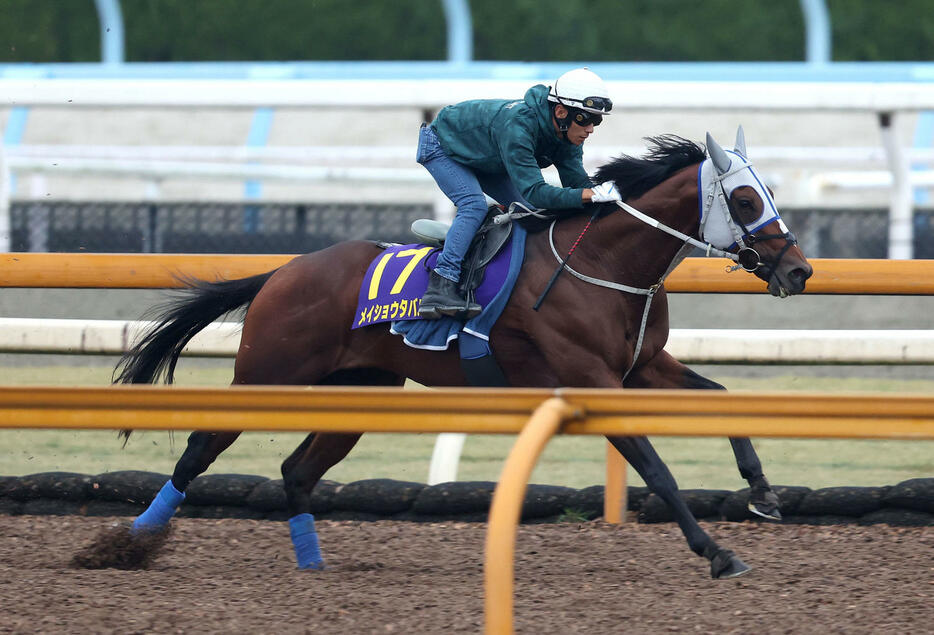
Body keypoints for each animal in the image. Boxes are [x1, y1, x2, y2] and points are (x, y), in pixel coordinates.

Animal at [108, 129, 812, 580]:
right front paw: (717, 553)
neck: (604, 262)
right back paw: (131, 542)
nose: (799, 271)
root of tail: (282, 272)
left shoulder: (641, 368)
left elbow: (724, 402)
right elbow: (658, 471)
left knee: (296, 471)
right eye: (745, 199)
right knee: (201, 448)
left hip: (362, 389)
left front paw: (763, 494)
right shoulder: (591, 379)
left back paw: (312, 562)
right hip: (269, 374)